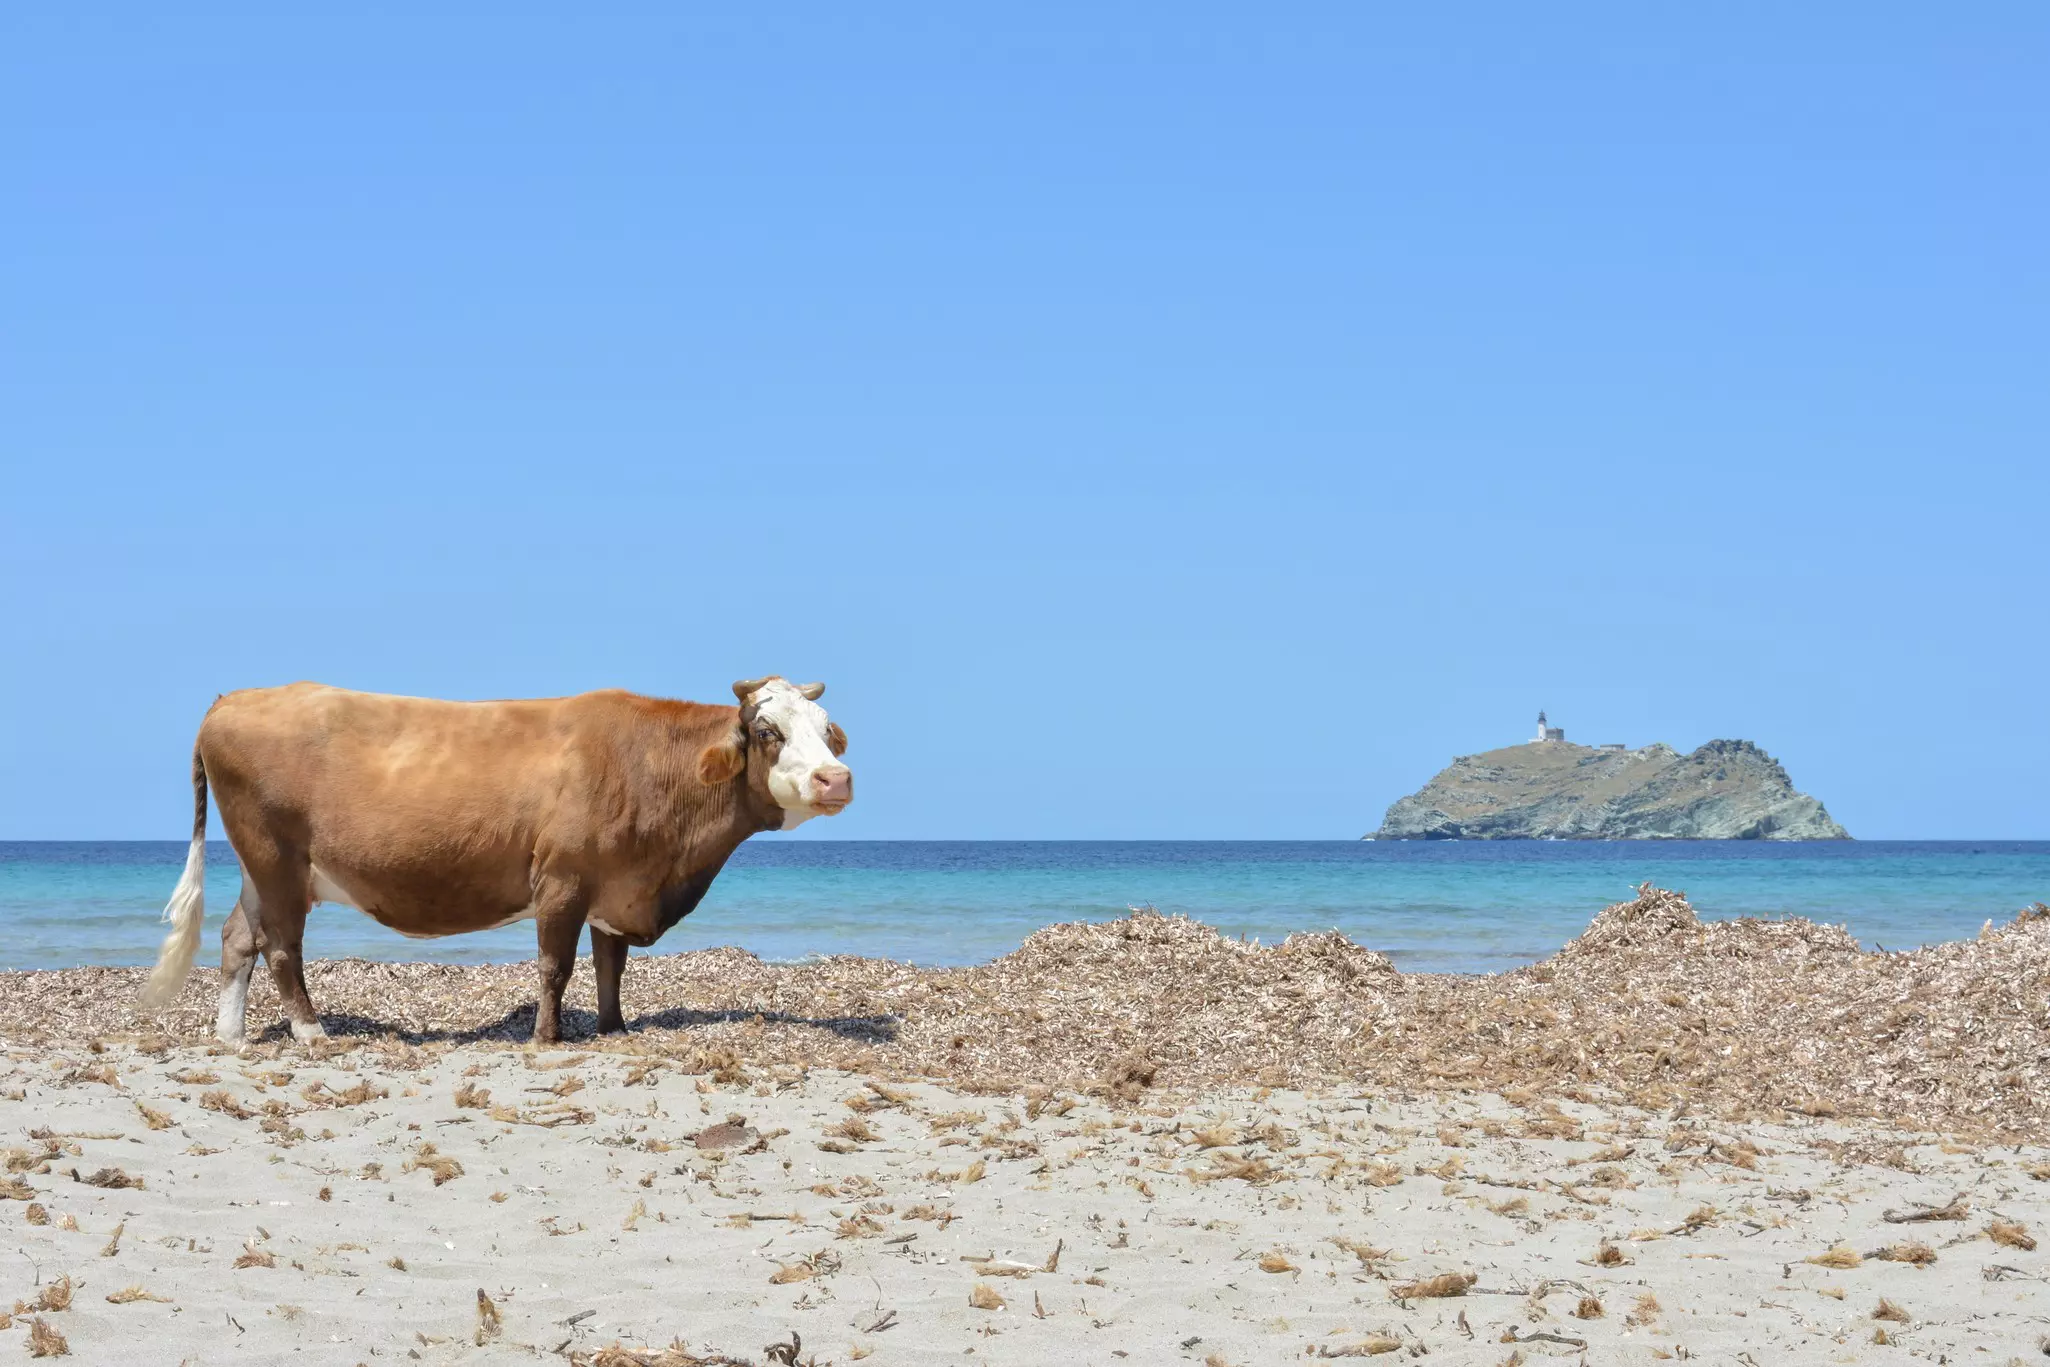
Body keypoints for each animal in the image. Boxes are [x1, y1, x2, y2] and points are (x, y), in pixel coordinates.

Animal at [136, 676, 852, 1044]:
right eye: (768, 732)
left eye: (828, 731)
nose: (836, 779)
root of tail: (236, 697)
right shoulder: (563, 877)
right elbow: (556, 966)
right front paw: (546, 1038)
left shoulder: (615, 883)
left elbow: (610, 966)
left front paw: (614, 1028)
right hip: (275, 856)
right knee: (281, 945)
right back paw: (311, 1033)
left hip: (267, 866)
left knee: (238, 938)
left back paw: (230, 1037)